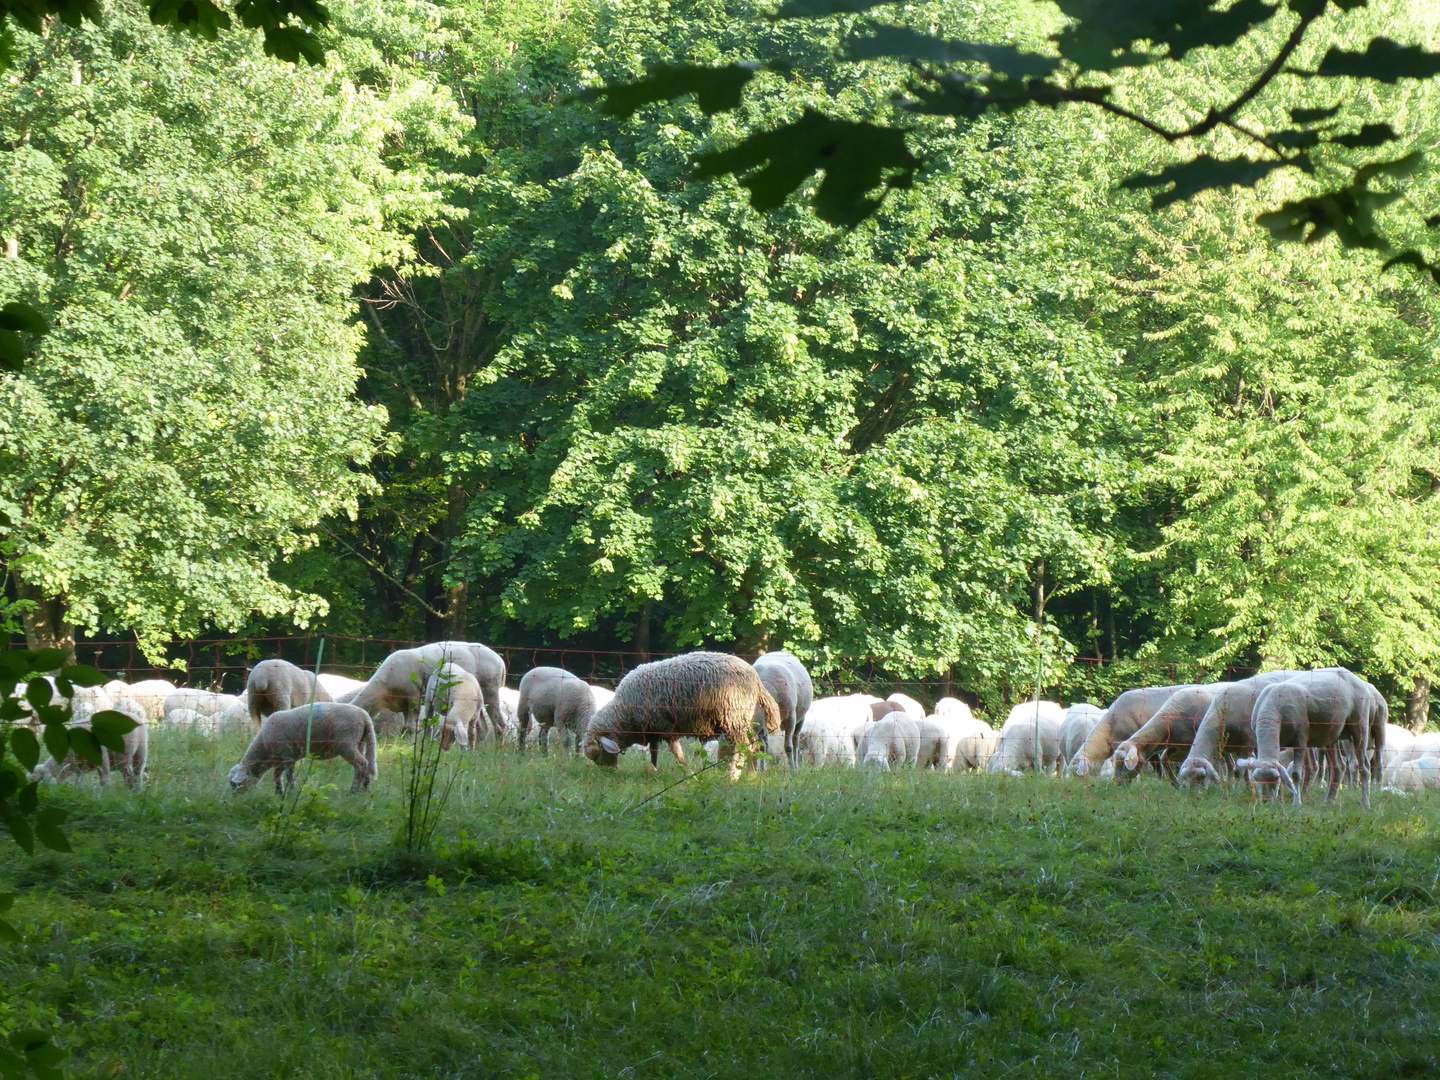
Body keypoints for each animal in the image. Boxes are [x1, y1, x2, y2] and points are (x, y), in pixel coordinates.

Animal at [226, 702, 377, 794]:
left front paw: (291, 792)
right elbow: (277, 776)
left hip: (345, 741)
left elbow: (289, 775)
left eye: (236, 785)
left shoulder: (287, 754)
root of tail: (365, 716)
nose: (236, 798)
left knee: (361, 763)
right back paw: (365, 788)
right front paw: (279, 794)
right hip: (360, 742)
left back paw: (353, 790)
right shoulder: (281, 759)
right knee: (365, 763)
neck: (264, 748)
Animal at [581, 650, 783, 777]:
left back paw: (733, 776)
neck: (625, 712)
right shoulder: (654, 729)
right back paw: (750, 776)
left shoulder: (665, 725)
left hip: (733, 717)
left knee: (743, 748)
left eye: (598, 752)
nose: (609, 772)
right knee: (754, 746)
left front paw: (689, 773)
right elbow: (654, 752)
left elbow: (676, 752)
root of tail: (755, 679)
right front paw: (654, 771)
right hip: (744, 719)